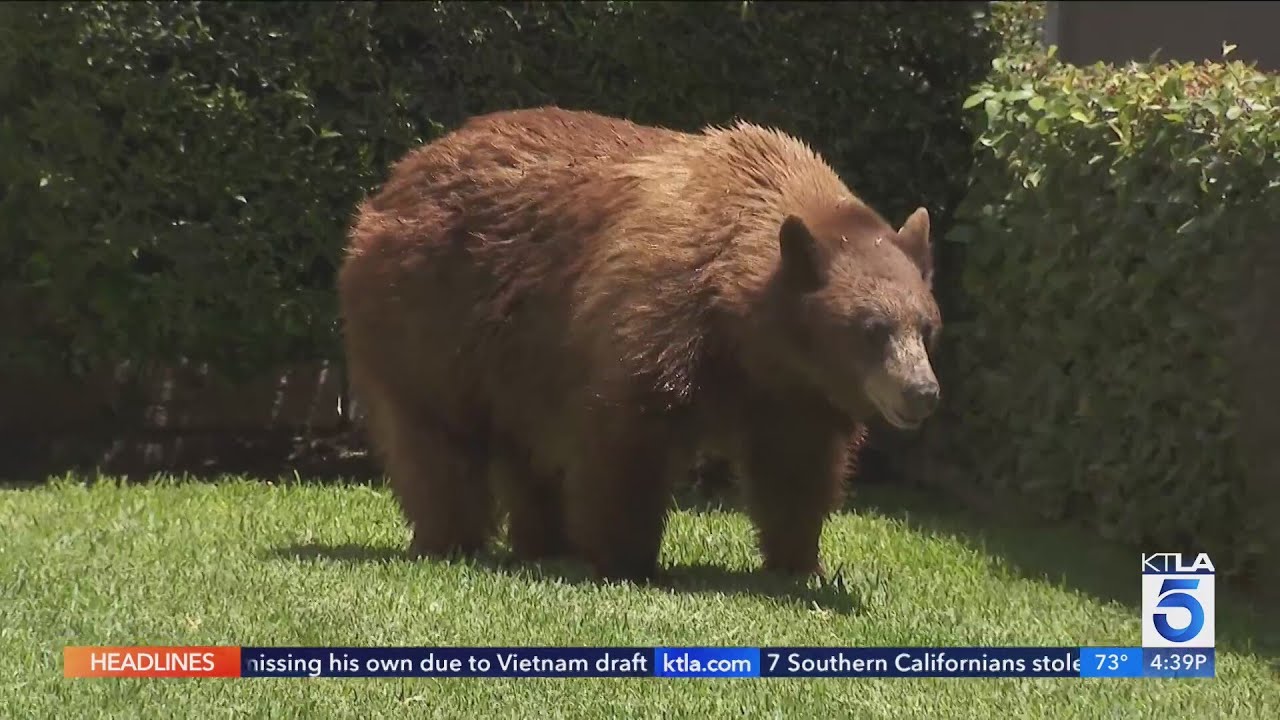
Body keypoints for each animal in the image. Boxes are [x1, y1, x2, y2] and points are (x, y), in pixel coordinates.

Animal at [338, 107, 941, 582]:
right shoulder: (656, 317)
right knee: (435, 438)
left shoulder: (796, 394)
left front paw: (801, 562)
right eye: (872, 327)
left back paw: (542, 541)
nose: (923, 391)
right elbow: (626, 440)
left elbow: (798, 469)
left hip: (514, 355)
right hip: (430, 315)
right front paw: (627, 558)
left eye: (927, 325)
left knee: (524, 451)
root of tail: (397, 177)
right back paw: (453, 538)